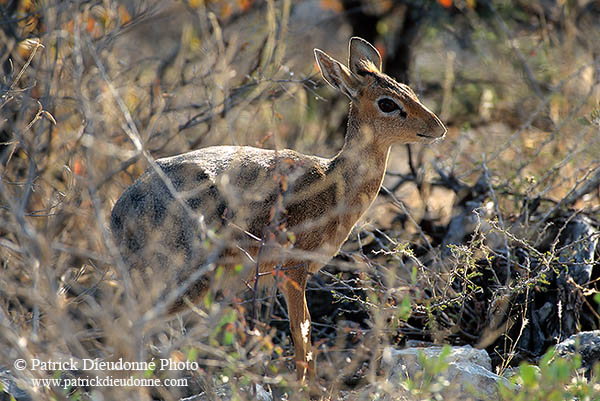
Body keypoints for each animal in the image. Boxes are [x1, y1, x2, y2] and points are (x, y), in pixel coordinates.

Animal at [110, 38, 446, 384]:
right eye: (387, 103)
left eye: (408, 89)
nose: (438, 127)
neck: (334, 182)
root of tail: (121, 209)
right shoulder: (293, 269)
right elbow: (302, 332)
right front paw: (308, 388)